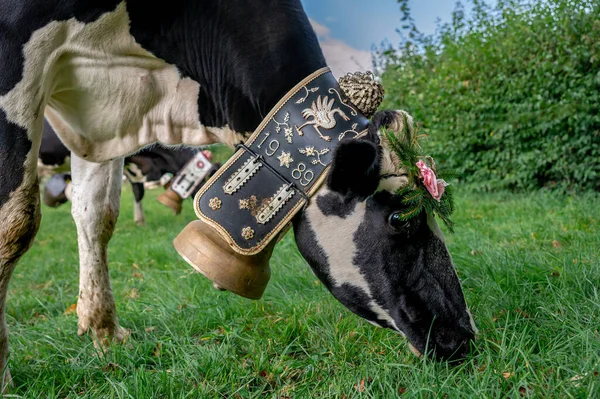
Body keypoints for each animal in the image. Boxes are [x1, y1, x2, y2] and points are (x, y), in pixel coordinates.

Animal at [0, 0, 478, 388]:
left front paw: (102, 333)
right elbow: (17, 222)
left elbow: (97, 215)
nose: (464, 335)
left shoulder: (101, 122)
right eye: (401, 220)